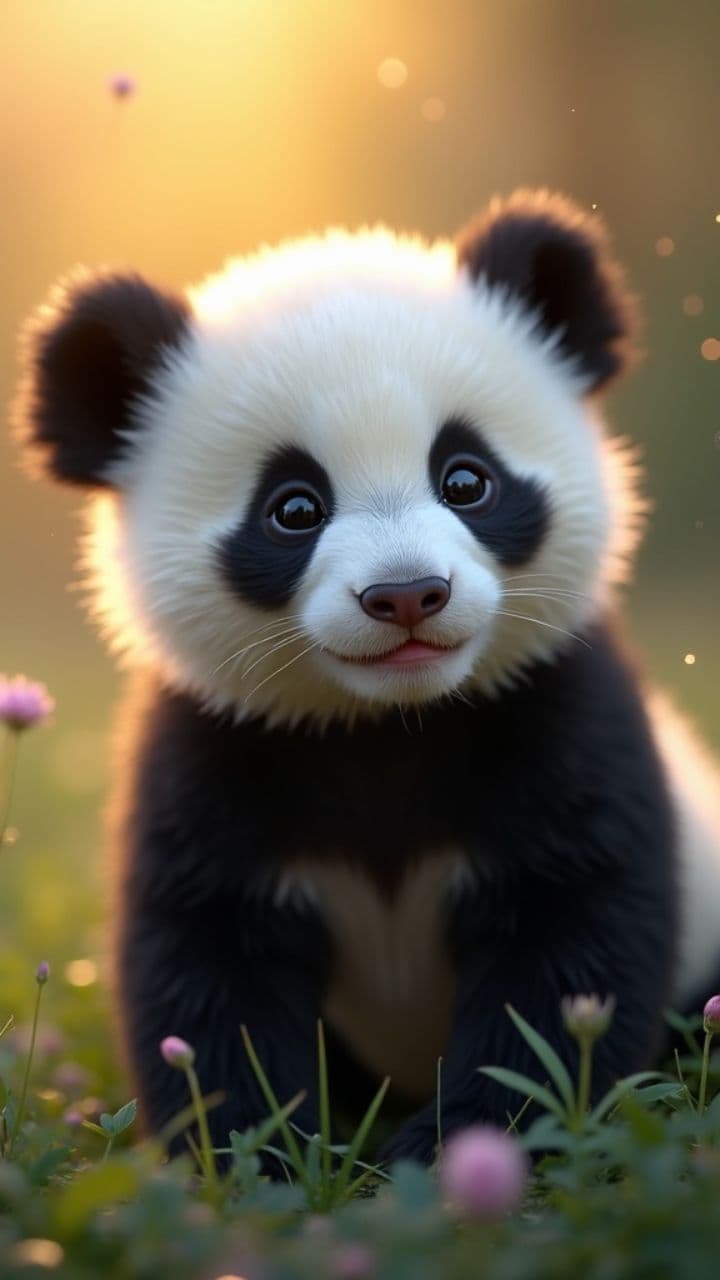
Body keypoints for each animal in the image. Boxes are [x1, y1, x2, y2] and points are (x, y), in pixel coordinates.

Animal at [13, 189, 720, 1166]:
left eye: (466, 479)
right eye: (293, 508)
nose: (407, 595)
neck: (391, 720)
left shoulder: (560, 710)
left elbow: (571, 953)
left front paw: (451, 1147)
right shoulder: (215, 748)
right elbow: (207, 976)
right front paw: (262, 1157)